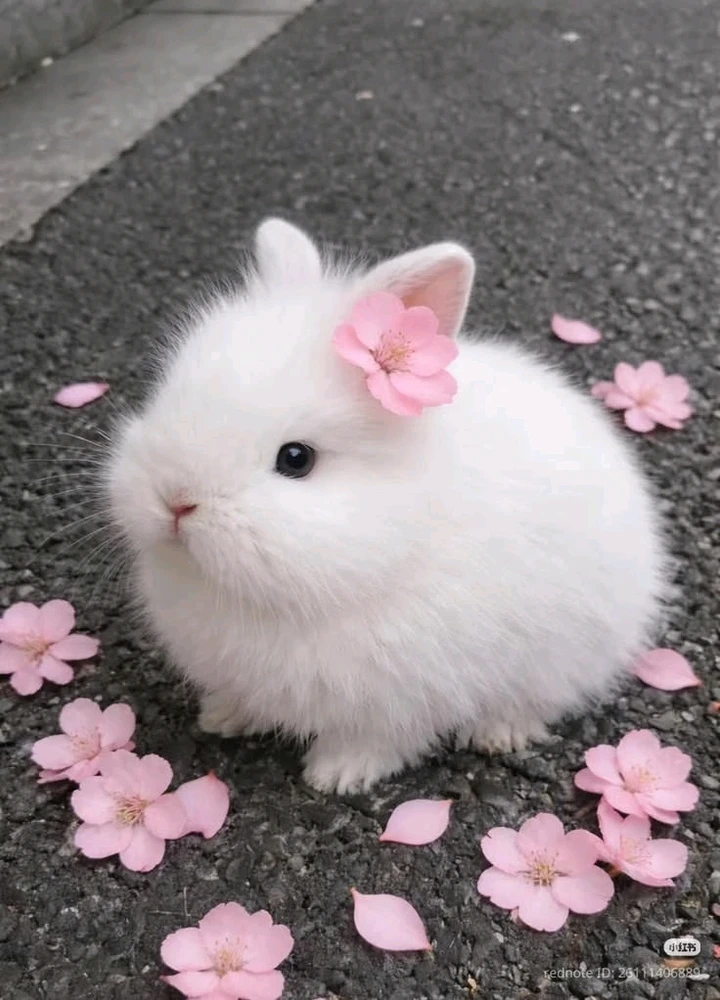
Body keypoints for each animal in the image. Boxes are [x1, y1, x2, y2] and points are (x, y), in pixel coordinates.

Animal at [106, 217, 668, 794]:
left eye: (296, 459)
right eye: (168, 398)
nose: (176, 501)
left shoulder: (407, 695)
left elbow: (380, 738)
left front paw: (337, 775)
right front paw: (222, 717)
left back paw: (499, 733)